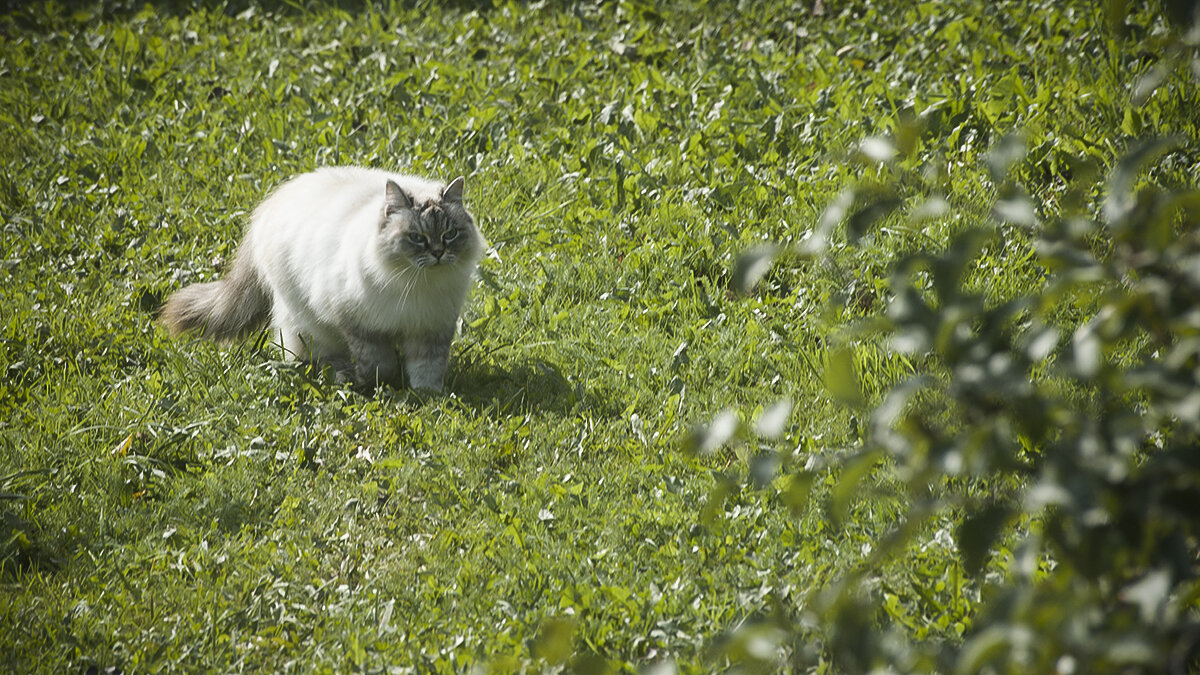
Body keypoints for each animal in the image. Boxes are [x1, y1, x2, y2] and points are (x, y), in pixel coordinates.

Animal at [162, 164, 484, 391]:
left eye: (450, 234)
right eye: (417, 238)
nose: (439, 253)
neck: (417, 285)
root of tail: (269, 206)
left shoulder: (431, 329)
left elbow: (427, 370)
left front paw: (425, 397)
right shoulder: (358, 325)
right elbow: (380, 364)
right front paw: (376, 385)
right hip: (309, 324)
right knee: (309, 354)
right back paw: (339, 374)